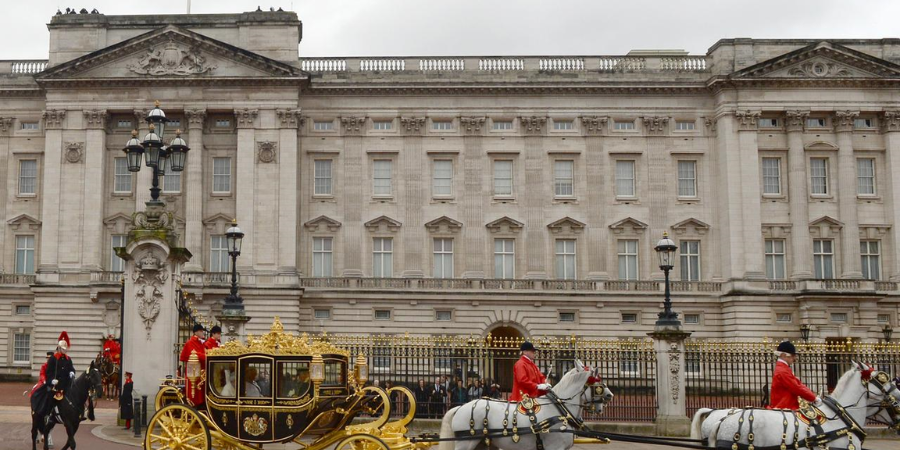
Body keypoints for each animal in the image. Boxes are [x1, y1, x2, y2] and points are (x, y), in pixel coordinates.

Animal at [436, 360, 612, 450]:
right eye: (599, 383)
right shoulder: (555, 448)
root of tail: (460, 407)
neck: (558, 410)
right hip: (466, 443)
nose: (610, 396)